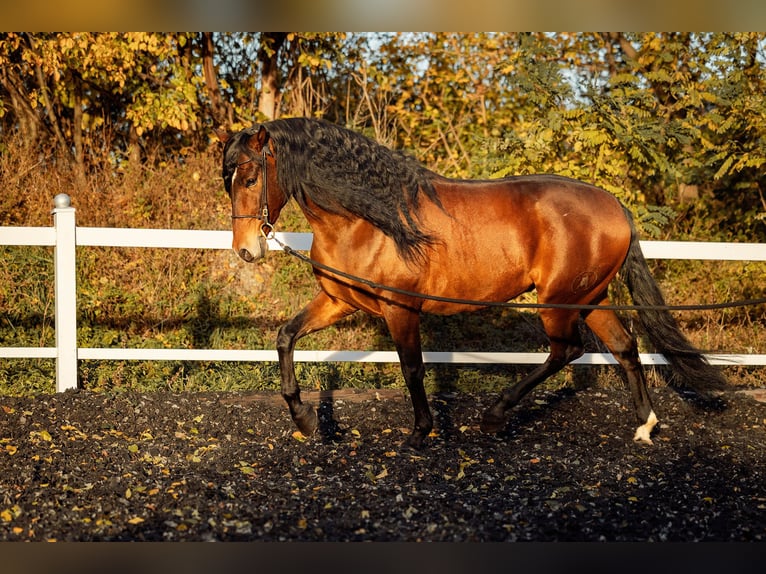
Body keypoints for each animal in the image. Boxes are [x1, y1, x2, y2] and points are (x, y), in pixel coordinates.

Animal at [215, 117, 726, 450]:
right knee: (624, 347)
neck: (369, 221)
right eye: (228, 178)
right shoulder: (339, 300)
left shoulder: (401, 308)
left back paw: (495, 416)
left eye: (252, 176)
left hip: (558, 302)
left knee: (567, 351)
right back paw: (645, 425)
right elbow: (285, 337)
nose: (246, 250)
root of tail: (616, 206)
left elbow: (412, 368)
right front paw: (304, 419)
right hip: (590, 297)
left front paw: (420, 432)